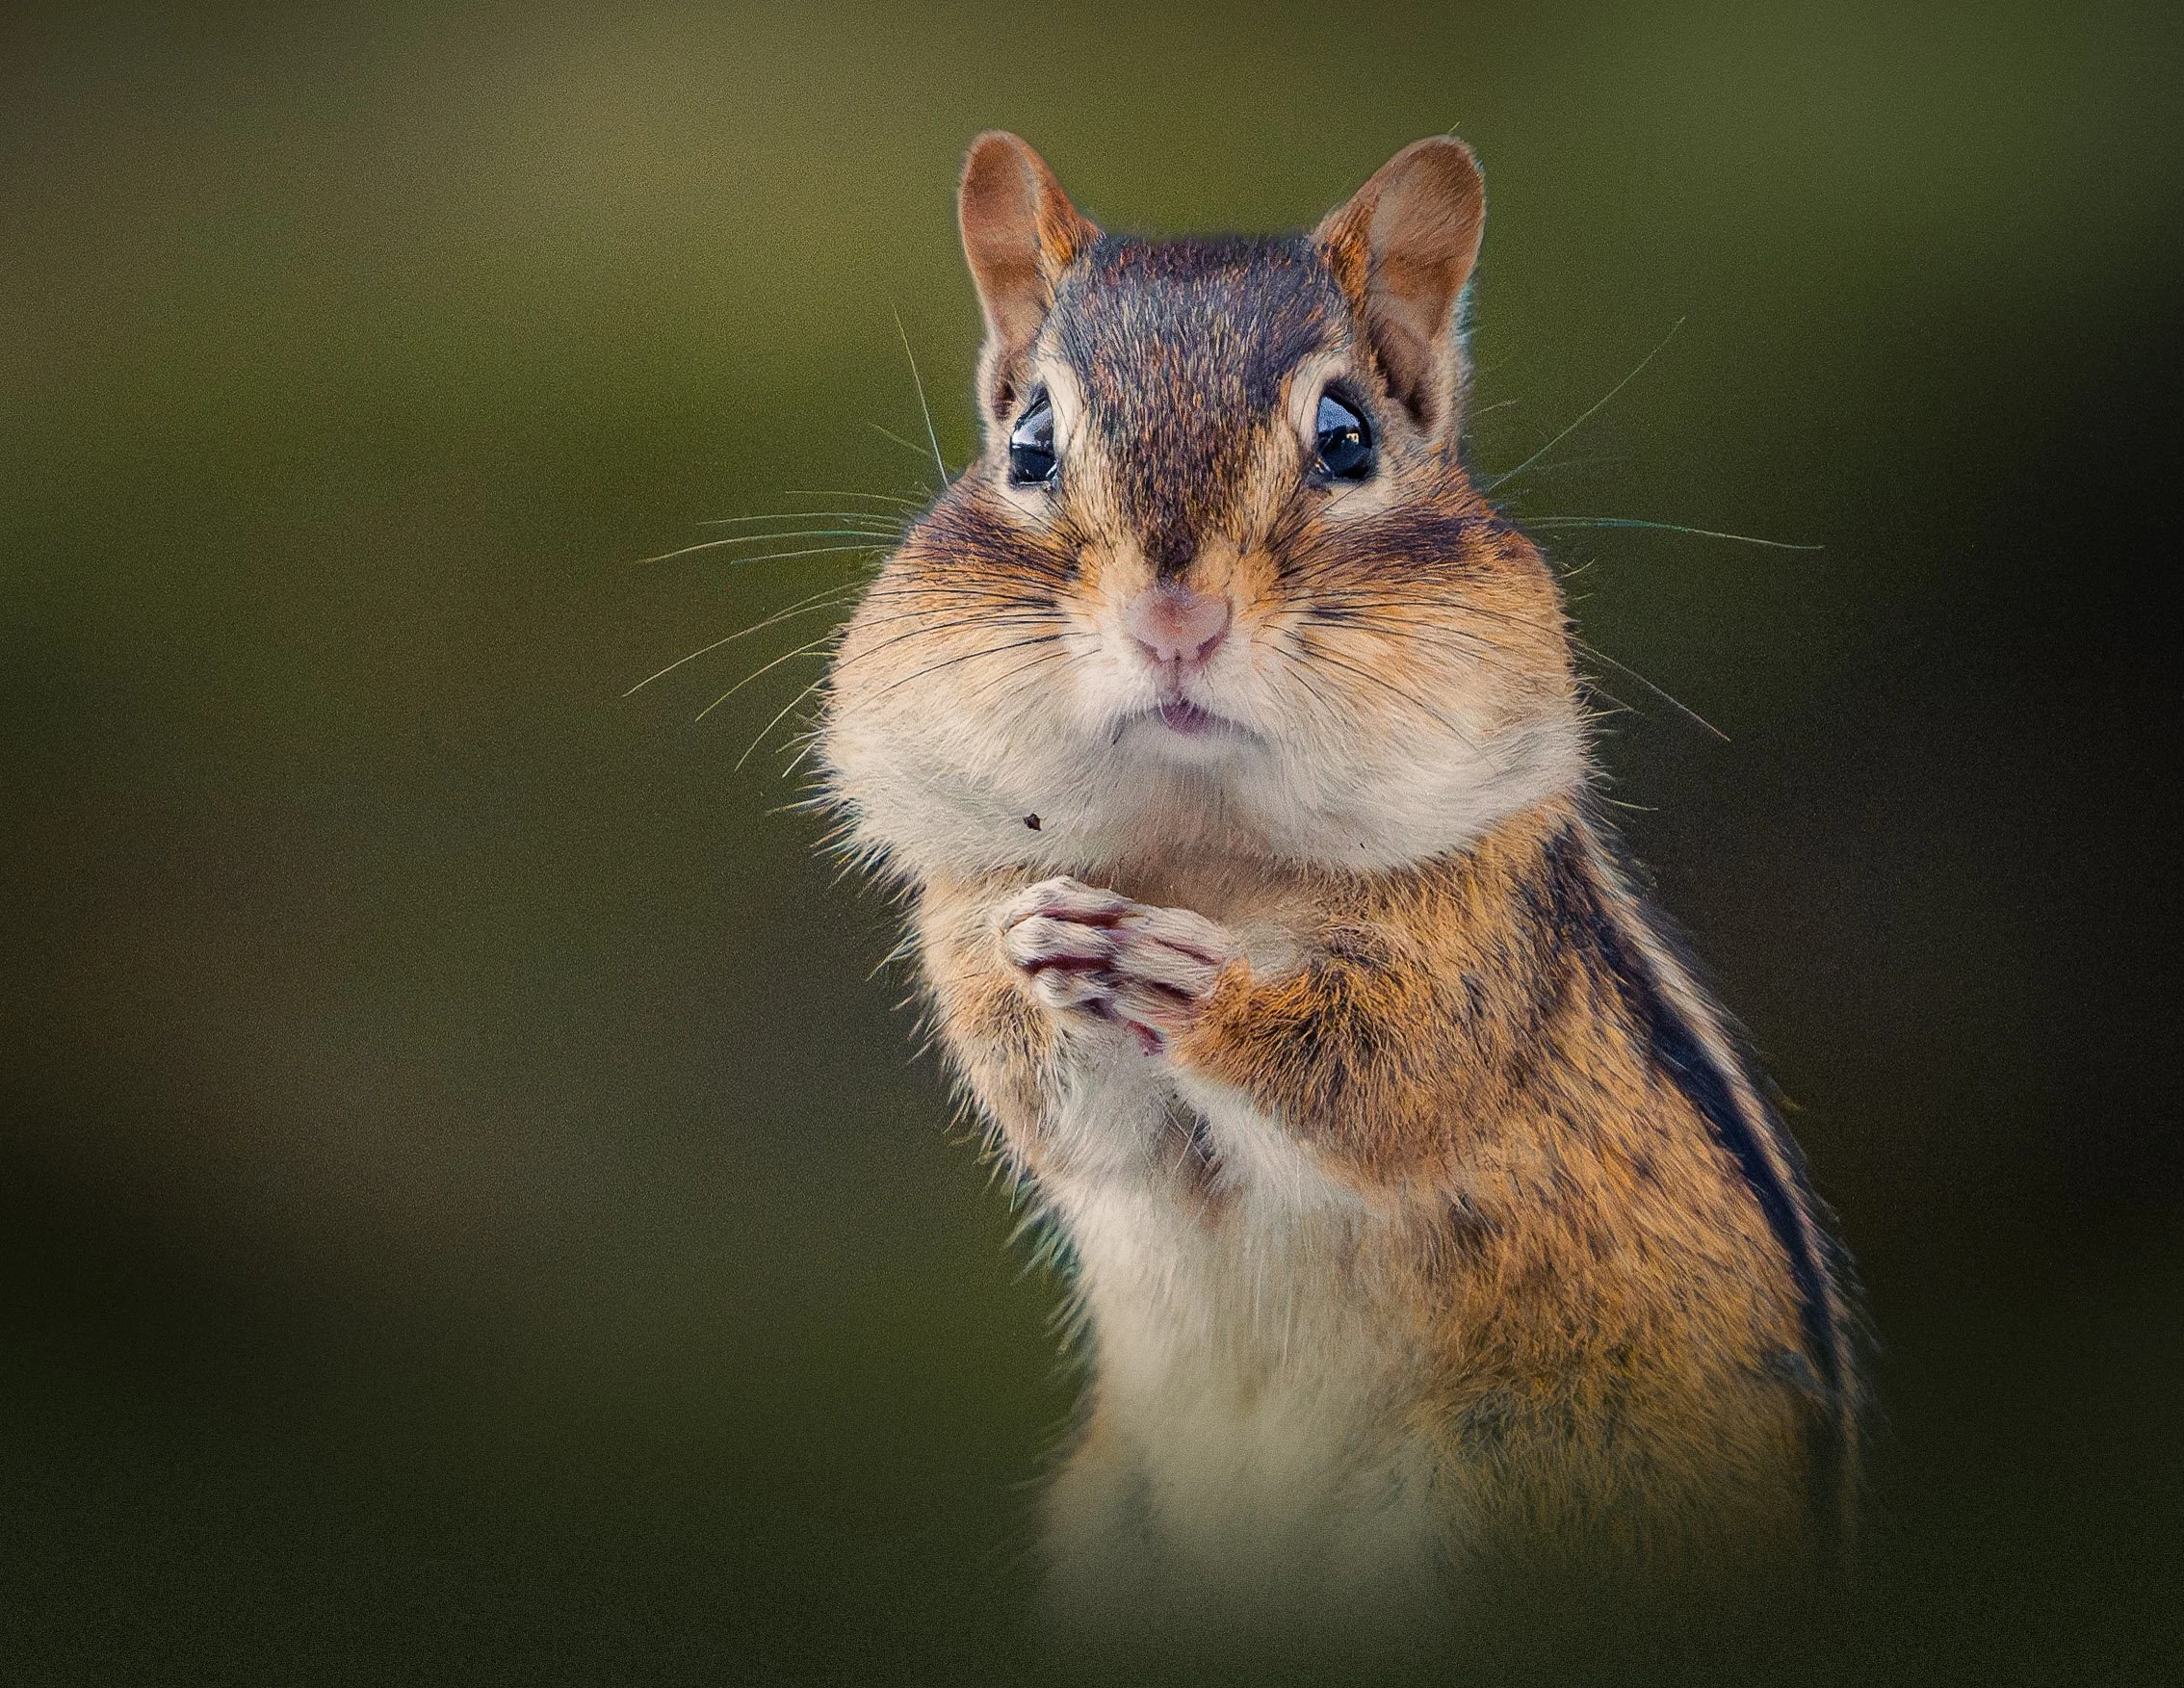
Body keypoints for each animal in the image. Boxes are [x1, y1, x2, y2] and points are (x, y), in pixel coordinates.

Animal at [817, 133, 1862, 1647]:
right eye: (1028, 444)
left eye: (1348, 436)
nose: (1175, 619)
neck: (1196, 848)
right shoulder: (959, 908)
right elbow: (1066, 1114)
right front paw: (1052, 955)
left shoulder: (1477, 936)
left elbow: (1382, 1078)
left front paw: (1197, 987)